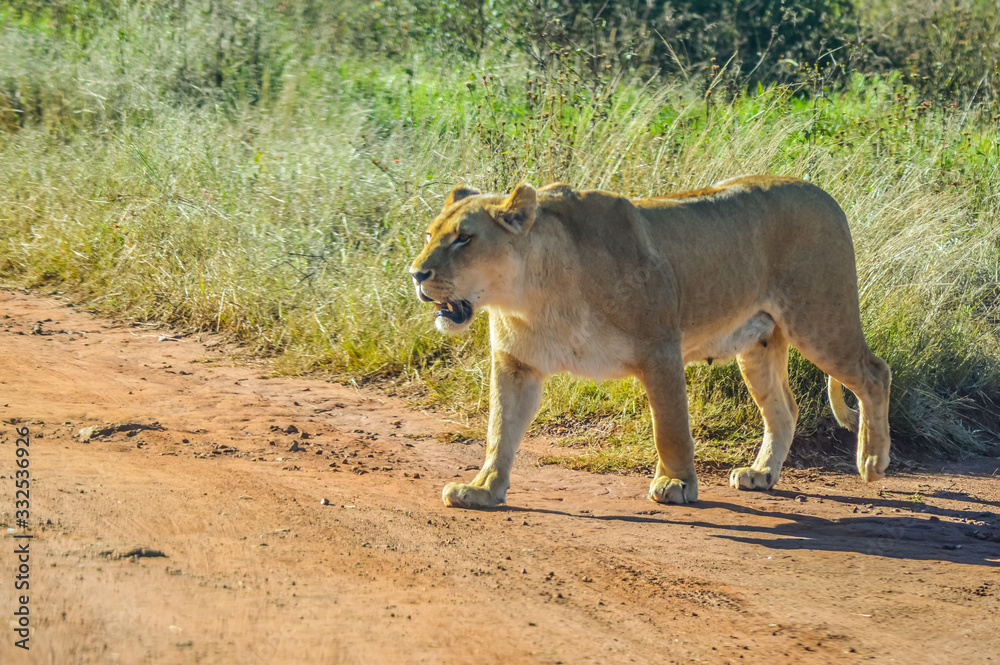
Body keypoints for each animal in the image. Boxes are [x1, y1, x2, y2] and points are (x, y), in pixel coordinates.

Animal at [409, 177, 891, 508]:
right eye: (430, 234)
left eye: (465, 238)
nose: (416, 274)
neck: (532, 296)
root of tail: (823, 193)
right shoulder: (517, 365)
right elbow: (500, 431)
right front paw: (482, 489)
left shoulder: (660, 348)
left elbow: (670, 427)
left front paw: (677, 483)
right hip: (759, 344)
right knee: (784, 409)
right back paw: (760, 474)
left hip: (820, 319)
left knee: (875, 373)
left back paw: (871, 462)